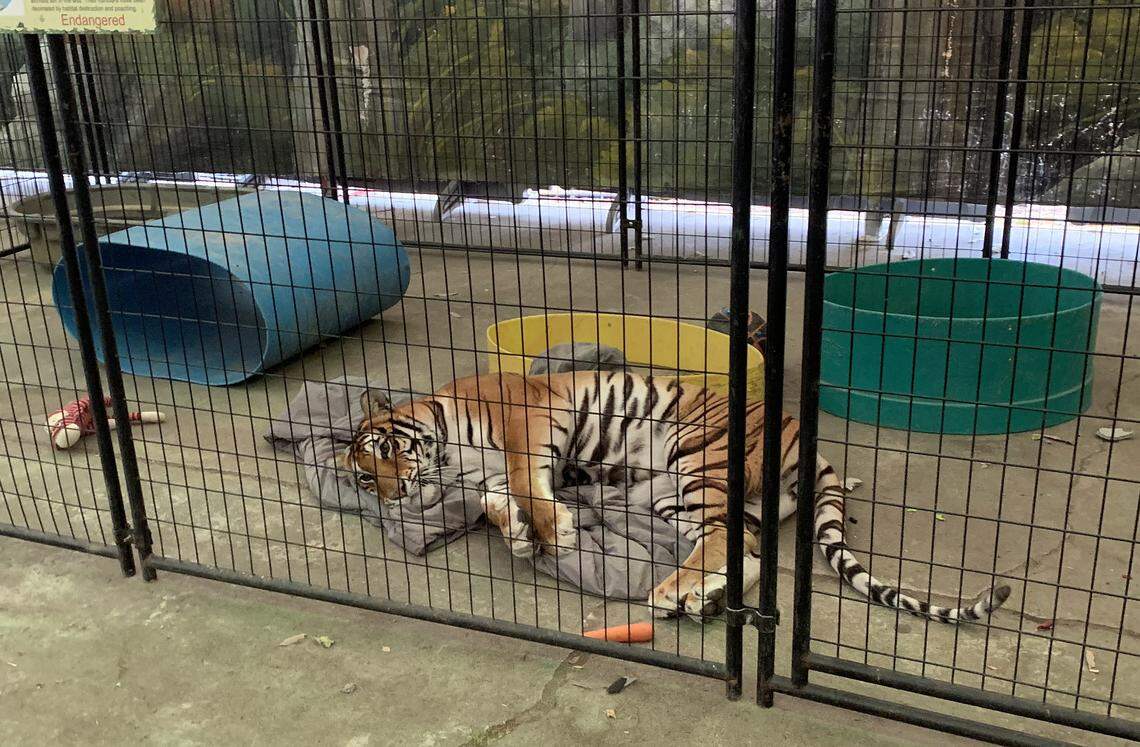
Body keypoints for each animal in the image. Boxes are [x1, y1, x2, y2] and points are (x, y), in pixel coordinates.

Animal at [343, 370, 1011, 622]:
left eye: (386, 450)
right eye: (364, 477)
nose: (392, 492)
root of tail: (803, 435)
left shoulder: (526, 431)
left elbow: (531, 489)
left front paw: (553, 534)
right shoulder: (489, 479)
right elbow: (496, 502)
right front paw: (521, 539)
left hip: (696, 455)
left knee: (722, 538)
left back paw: (669, 593)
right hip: (676, 496)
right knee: (744, 550)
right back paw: (701, 600)